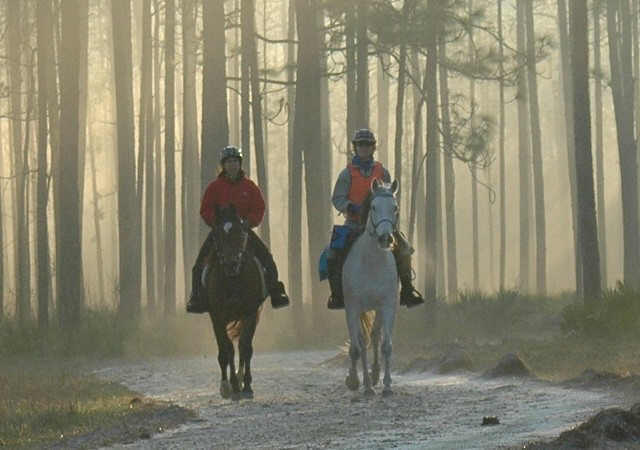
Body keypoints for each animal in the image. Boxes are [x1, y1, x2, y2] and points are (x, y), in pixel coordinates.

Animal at [204, 206, 266, 400]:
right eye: (217, 235)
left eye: (240, 233)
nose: (231, 264)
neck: (233, 279)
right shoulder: (217, 317)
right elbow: (226, 349)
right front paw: (228, 385)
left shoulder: (250, 313)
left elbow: (245, 347)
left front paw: (245, 385)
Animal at [342, 178, 398, 396]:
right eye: (373, 207)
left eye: (395, 207)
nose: (385, 238)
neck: (372, 263)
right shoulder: (354, 307)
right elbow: (359, 347)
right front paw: (364, 386)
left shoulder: (388, 305)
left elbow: (386, 345)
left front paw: (388, 385)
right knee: (358, 343)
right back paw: (356, 380)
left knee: (374, 336)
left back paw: (375, 375)